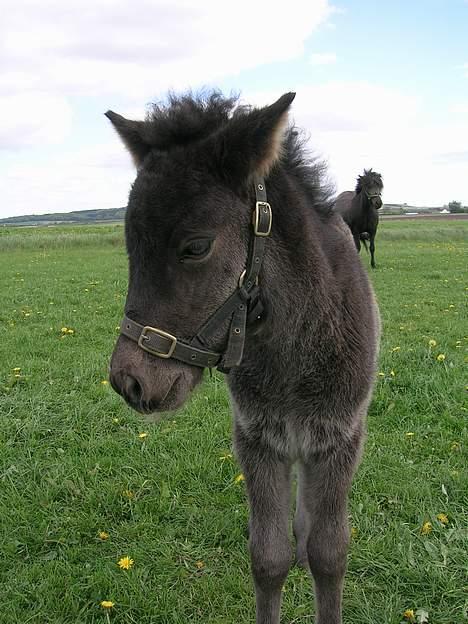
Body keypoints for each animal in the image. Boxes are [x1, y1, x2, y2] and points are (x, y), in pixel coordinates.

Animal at [107, 90, 380, 624]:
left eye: (196, 247)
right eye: (129, 244)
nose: (129, 381)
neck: (293, 351)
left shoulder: (338, 439)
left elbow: (329, 553)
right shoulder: (257, 439)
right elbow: (268, 557)